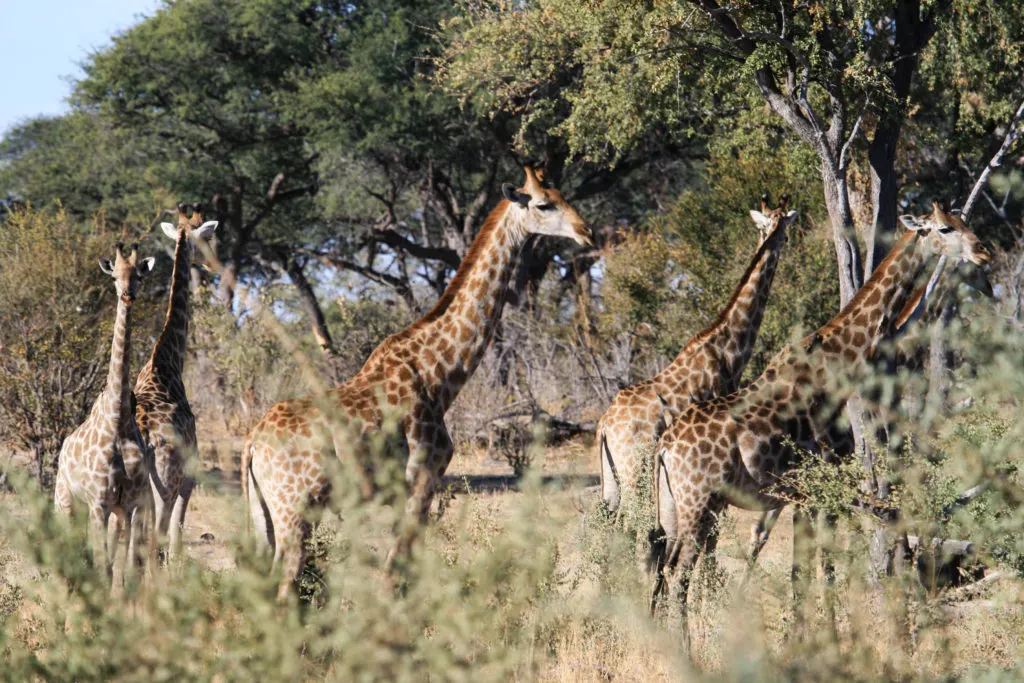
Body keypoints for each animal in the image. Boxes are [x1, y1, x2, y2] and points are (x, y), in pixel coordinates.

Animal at [54, 244, 156, 581]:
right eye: (114, 276)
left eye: (139, 275)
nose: (127, 294)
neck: (117, 419)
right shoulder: (98, 502)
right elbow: (104, 567)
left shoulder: (131, 503)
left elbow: (127, 567)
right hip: (66, 500)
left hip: (111, 510)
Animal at [242, 166, 591, 600]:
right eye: (544, 204)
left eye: (562, 195)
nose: (585, 232)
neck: (439, 373)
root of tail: (253, 443)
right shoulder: (425, 474)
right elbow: (395, 575)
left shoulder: (406, 491)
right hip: (295, 511)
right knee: (286, 585)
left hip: (264, 514)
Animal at [597, 193, 797, 525]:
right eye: (784, 228)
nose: (785, 241)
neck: (727, 347)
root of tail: (604, 424)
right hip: (634, 470)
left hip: (613, 476)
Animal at [647, 204, 991, 651]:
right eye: (946, 229)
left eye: (966, 223)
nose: (984, 253)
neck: (845, 356)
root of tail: (665, 447)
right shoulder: (824, 483)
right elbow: (823, 569)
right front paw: (829, 642)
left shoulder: (803, 495)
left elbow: (801, 574)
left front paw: (800, 640)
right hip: (699, 503)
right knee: (679, 572)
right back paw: (687, 649)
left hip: (674, 506)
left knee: (662, 565)